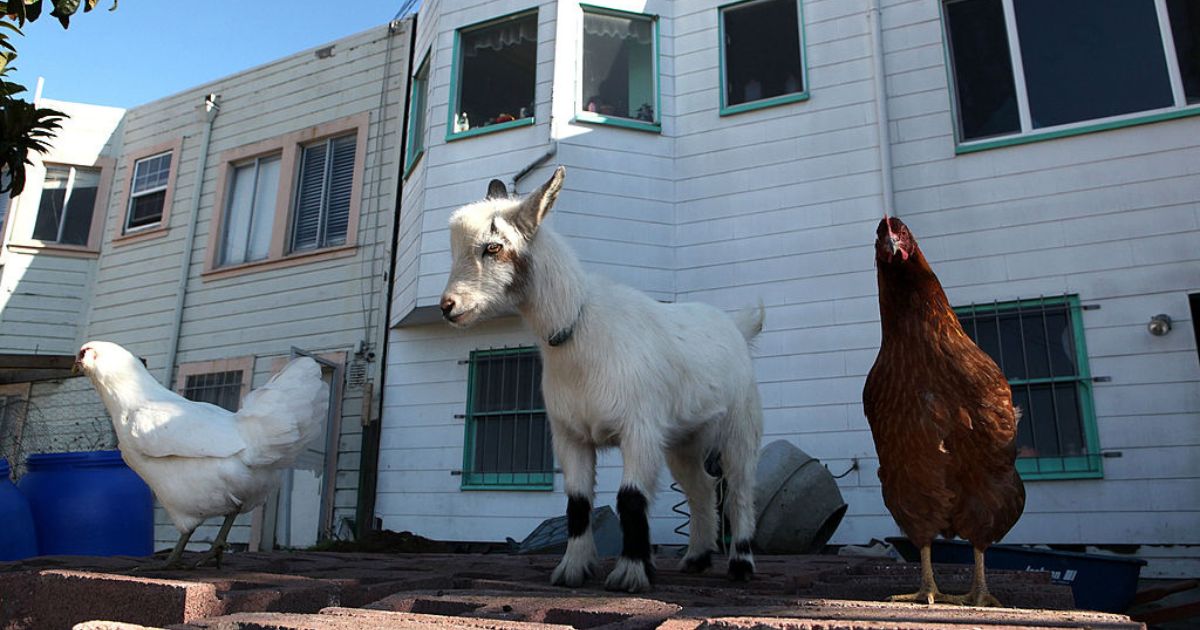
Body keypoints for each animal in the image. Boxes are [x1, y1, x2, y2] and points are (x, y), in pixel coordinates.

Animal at [444, 166, 768, 590]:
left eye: (494, 247)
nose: (448, 306)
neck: (579, 328)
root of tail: (737, 326)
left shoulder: (640, 429)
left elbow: (630, 499)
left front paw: (629, 573)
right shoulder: (570, 435)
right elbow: (578, 503)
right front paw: (572, 570)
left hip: (740, 426)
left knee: (740, 490)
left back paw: (741, 563)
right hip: (683, 439)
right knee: (701, 487)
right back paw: (696, 558)